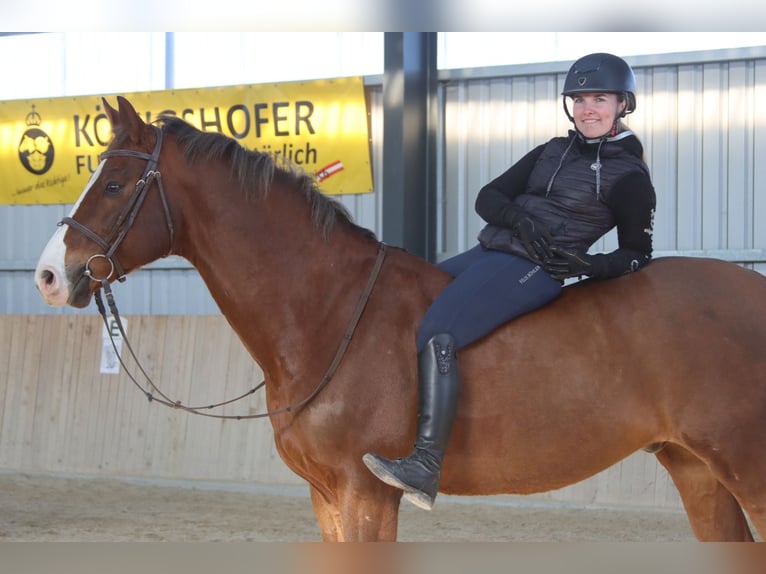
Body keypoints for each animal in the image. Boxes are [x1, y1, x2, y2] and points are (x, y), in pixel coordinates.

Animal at [33, 97, 766, 544]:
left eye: (115, 186)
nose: (48, 276)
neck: (328, 309)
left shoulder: (365, 494)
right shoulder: (327, 497)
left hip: (746, 468)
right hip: (696, 470)